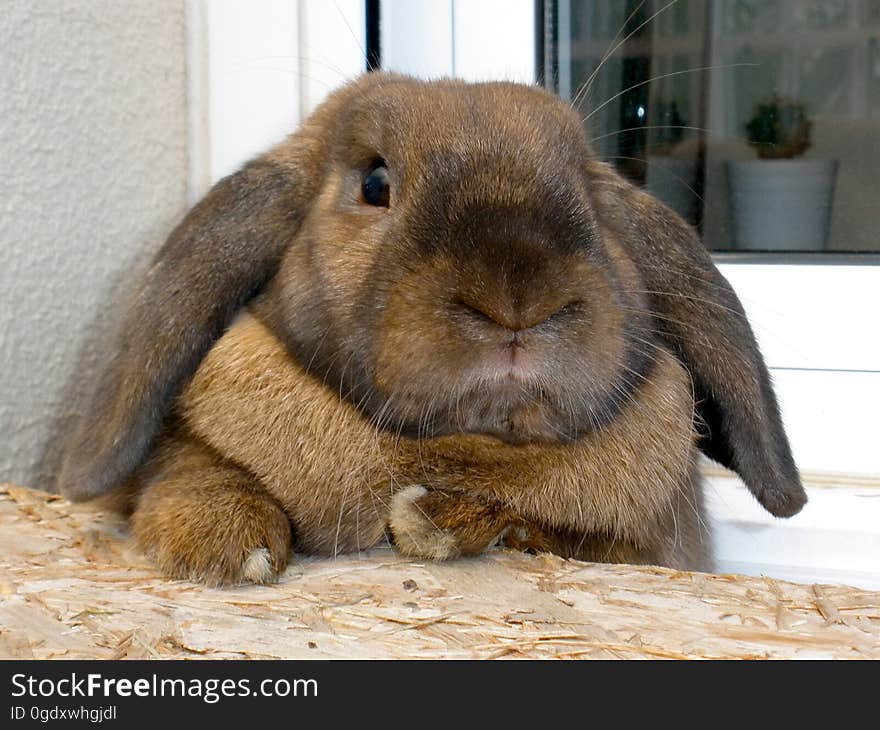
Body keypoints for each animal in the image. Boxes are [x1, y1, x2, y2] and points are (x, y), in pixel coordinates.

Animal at [58, 72, 808, 584]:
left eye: (591, 198)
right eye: (374, 184)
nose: (517, 296)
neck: (448, 449)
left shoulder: (649, 548)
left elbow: (566, 537)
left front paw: (438, 520)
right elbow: (190, 463)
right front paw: (224, 543)